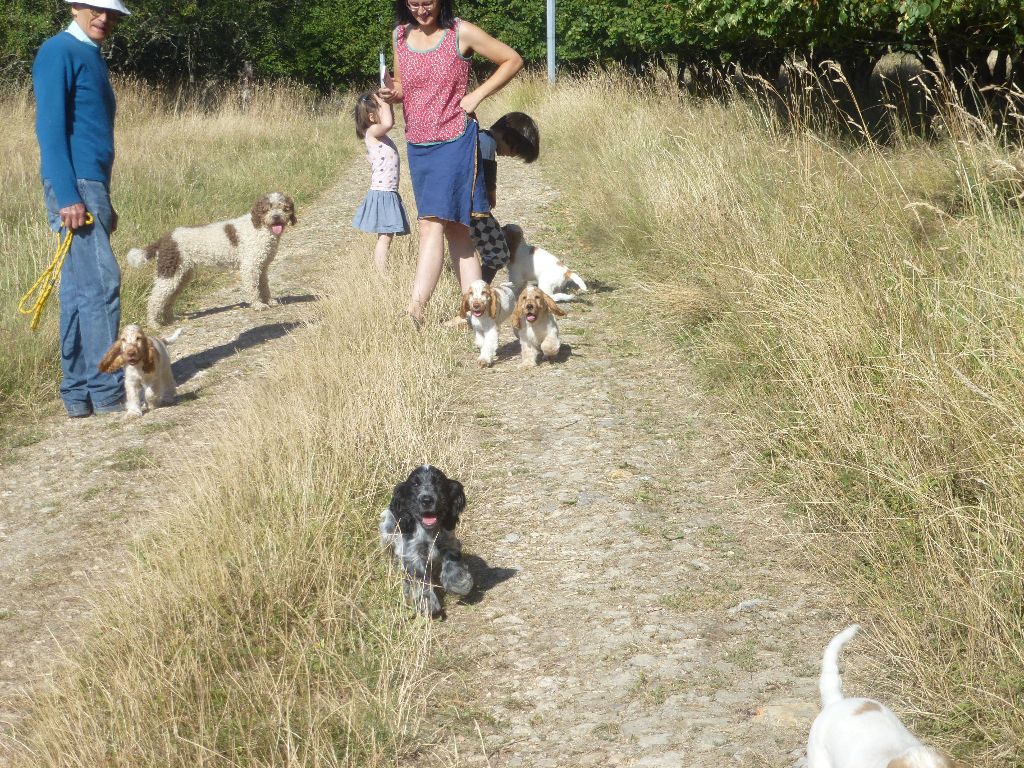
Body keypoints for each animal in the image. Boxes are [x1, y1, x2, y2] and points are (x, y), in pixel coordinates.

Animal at [126, 193, 296, 325]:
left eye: (284, 208)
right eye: (267, 208)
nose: (276, 217)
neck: (260, 227)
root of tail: (165, 239)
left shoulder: (262, 266)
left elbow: (264, 286)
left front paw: (269, 301)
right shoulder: (250, 267)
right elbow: (253, 288)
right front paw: (258, 305)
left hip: (182, 275)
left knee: (168, 299)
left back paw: (171, 319)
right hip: (169, 273)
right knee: (154, 299)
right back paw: (153, 324)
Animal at [378, 462, 473, 618]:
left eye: (438, 483)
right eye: (415, 484)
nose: (427, 500)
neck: (429, 531)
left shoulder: (449, 543)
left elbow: (452, 563)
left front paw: (459, 584)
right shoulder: (412, 554)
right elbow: (420, 579)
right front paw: (428, 603)